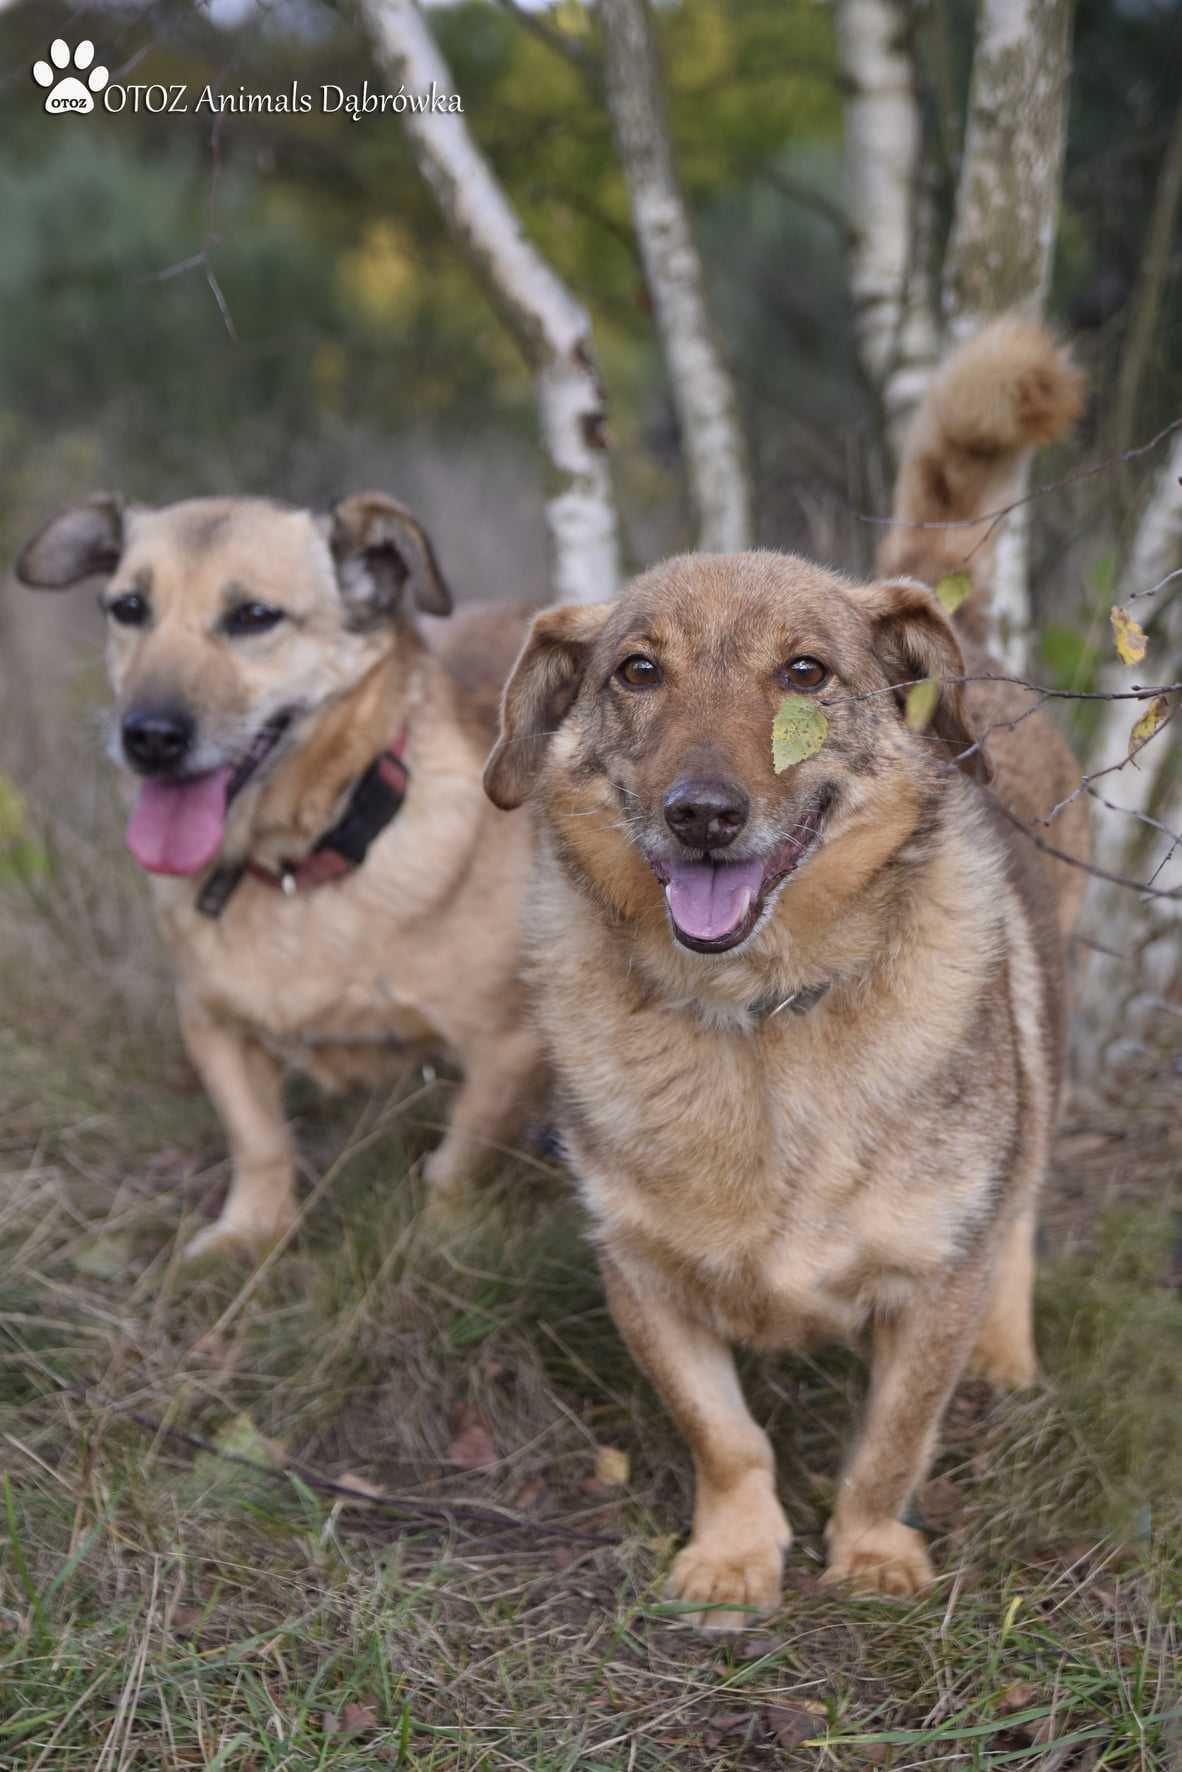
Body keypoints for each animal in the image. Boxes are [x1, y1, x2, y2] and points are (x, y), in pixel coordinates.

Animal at [16, 489, 542, 1261]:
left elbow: (460, 1159)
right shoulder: (211, 1023)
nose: (146, 737)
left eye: (254, 617)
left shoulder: (507, 1048)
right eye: (128, 608)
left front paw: (439, 1241)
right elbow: (258, 1140)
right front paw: (250, 1233)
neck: (300, 864)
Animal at [485, 326, 1084, 1623]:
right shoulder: (639, 1269)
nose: (702, 814)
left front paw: (866, 1551)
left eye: (805, 672)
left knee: (1025, 1208)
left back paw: (1010, 1355)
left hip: (1047, 1058)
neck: (760, 1021)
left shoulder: (934, 1274)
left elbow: (893, 1436)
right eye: (637, 672)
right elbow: (725, 1433)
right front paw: (734, 1553)